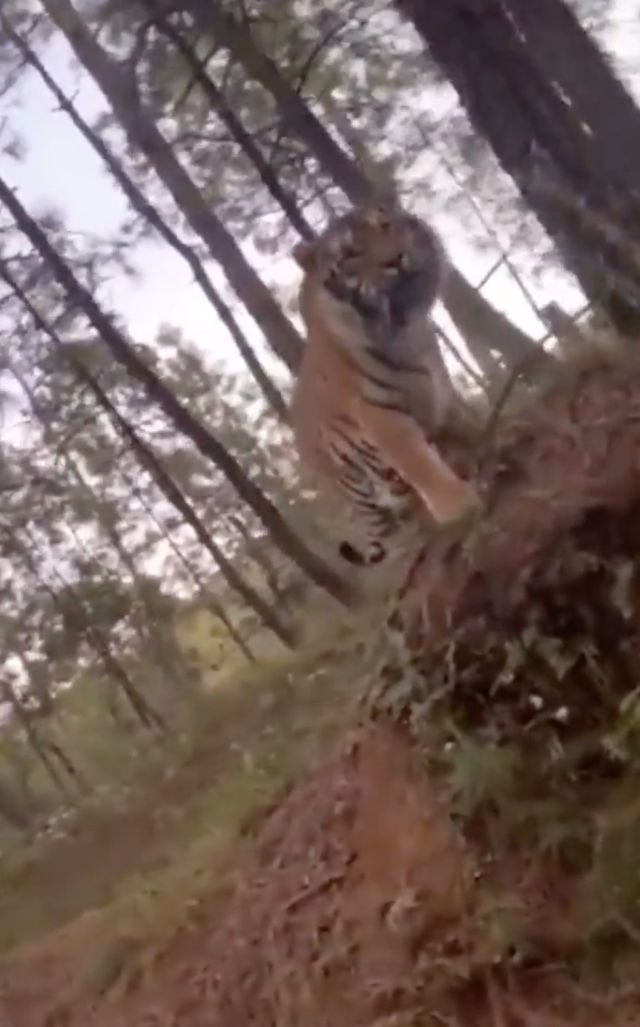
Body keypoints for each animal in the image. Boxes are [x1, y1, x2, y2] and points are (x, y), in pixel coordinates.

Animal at [289, 200, 480, 571]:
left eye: (385, 226)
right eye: (351, 253)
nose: (397, 259)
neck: (403, 330)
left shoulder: (440, 392)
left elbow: (460, 430)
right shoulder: (381, 415)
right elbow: (421, 464)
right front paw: (459, 505)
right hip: (360, 495)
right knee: (390, 535)